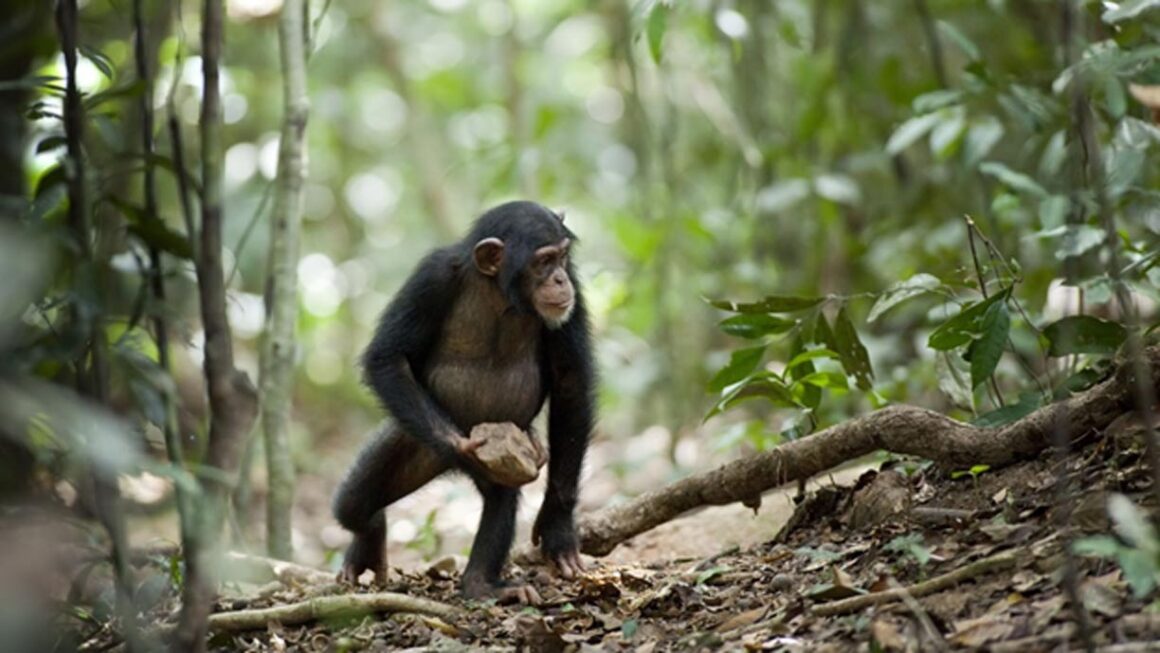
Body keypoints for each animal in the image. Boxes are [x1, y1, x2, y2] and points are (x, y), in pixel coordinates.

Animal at [331, 199, 593, 603]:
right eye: (544, 261)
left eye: (563, 258)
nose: (559, 280)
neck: (498, 290)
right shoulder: (431, 277)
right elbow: (388, 357)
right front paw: (463, 447)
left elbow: (570, 383)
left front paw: (558, 527)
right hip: (413, 438)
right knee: (353, 506)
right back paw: (370, 537)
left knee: (500, 498)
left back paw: (480, 583)